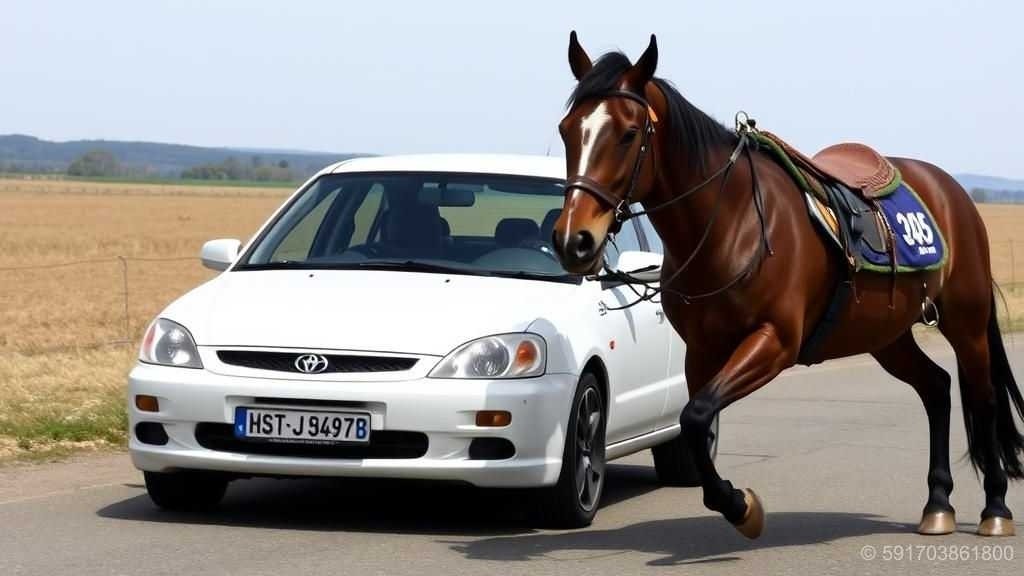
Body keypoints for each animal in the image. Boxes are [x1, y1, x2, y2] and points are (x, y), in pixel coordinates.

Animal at [550, 31, 1023, 539]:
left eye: (628, 132)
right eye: (566, 129)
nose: (574, 239)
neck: (732, 223)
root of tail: (951, 192)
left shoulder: (774, 341)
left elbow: (696, 417)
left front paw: (742, 507)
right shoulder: (702, 350)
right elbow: (697, 419)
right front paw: (736, 504)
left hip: (965, 322)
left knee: (984, 398)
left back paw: (996, 509)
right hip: (886, 334)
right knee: (936, 387)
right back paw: (937, 503)